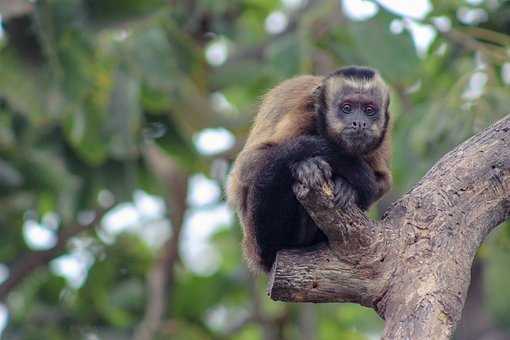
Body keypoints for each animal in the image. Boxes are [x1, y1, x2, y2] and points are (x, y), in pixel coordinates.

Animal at [226, 65, 390, 274]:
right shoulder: (304, 113)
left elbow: (382, 182)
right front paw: (305, 166)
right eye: (347, 108)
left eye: (369, 110)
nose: (359, 122)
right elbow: (246, 167)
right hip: (257, 238)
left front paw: (347, 188)